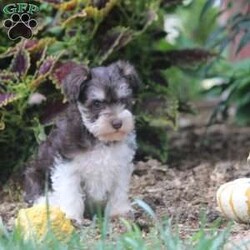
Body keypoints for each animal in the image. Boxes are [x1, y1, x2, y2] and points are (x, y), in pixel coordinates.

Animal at [24, 60, 140, 223]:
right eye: (97, 103)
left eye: (123, 100)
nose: (117, 123)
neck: (97, 137)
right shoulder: (67, 166)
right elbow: (71, 193)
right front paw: (71, 217)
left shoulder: (121, 165)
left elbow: (118, 190)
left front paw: (119, 211)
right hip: (37, 177)